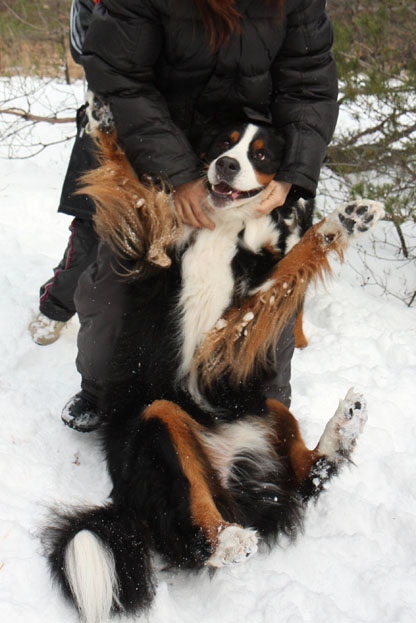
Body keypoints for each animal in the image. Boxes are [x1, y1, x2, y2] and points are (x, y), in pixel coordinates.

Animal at [44, 102, 386, 623]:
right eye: (224, 142)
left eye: (260, 153)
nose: (226, 166)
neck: (225, 227)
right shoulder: (152, 252)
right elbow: (128, 182)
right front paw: (104, 122)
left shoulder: (243, 308)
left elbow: (299, 256)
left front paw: (346, 220)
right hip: (158, 418)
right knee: (196, 522)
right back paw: (227, 540)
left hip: (267, 408)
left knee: (308, 474)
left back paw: (343, 426)